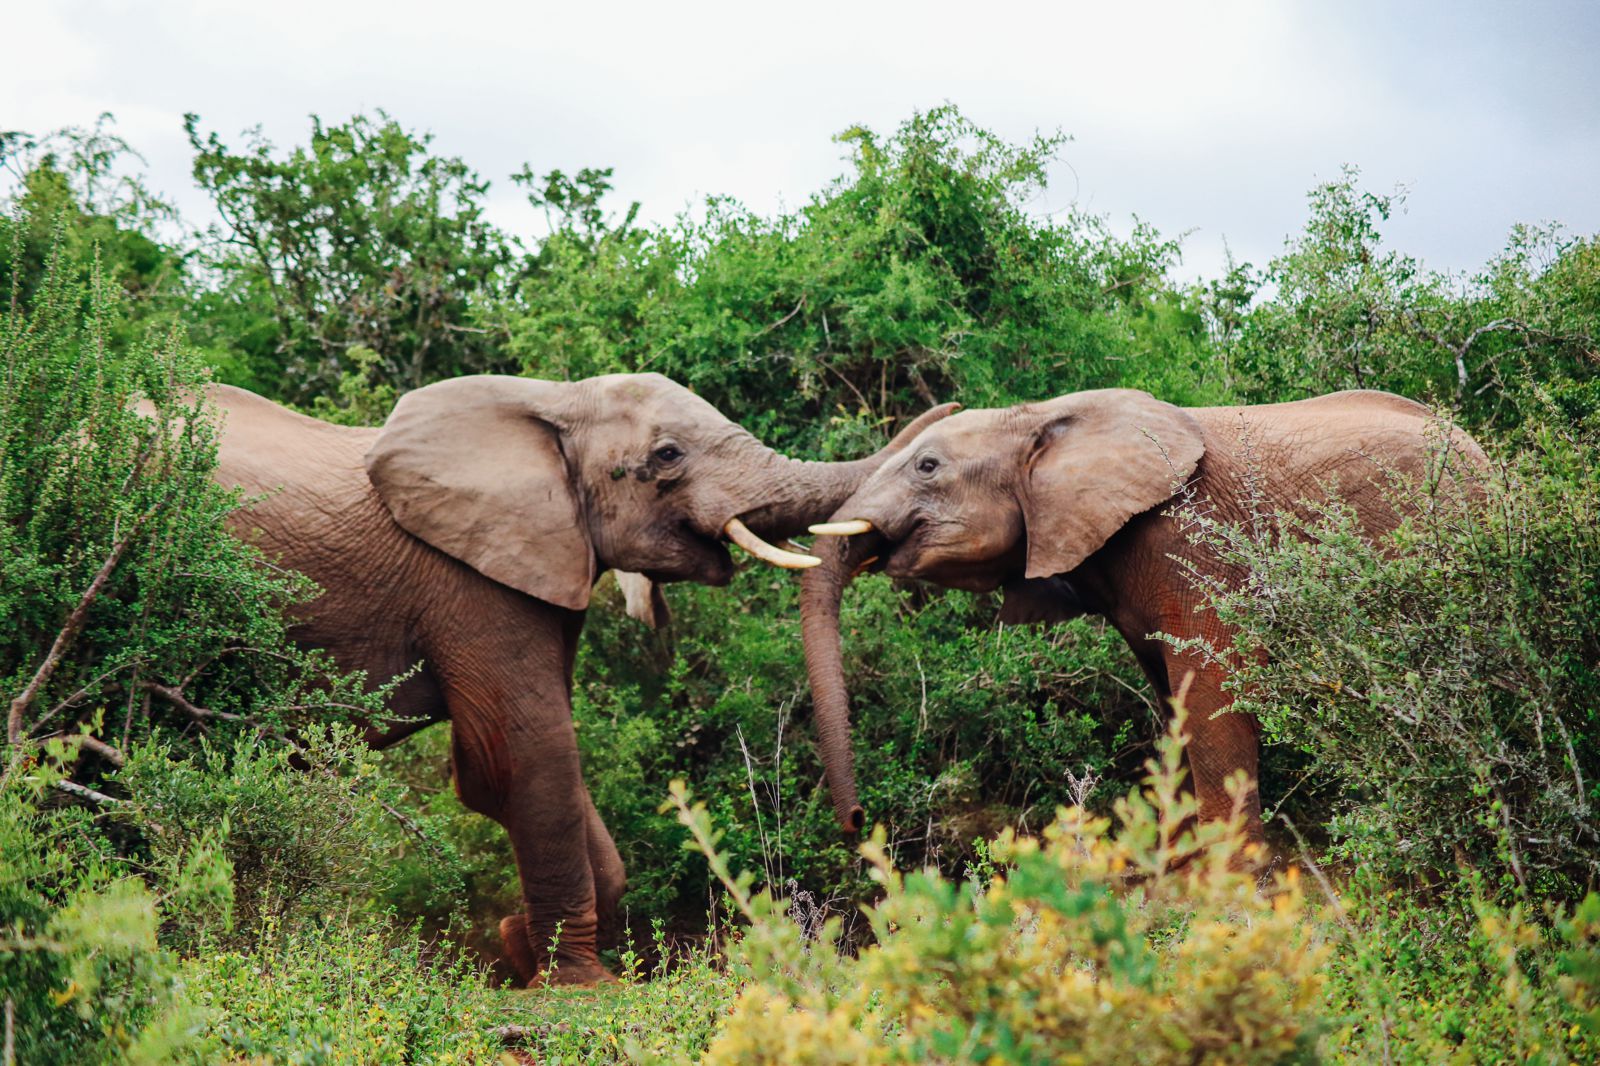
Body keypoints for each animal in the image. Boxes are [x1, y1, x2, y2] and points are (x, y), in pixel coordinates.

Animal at [195, 371, 953, 979]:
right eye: (667, 456)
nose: (858, 822)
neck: (551, 402)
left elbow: (515, 774)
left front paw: (518, 946)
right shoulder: (471, 578)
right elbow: (527, 754)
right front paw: (581, 984)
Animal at [800, 385, 1484, 845]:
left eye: (927, 466)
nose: (858, 822)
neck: (1042, 417)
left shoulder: (1190, 541)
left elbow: (1211, 692)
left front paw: (1225, 892)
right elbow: (1170, 700)